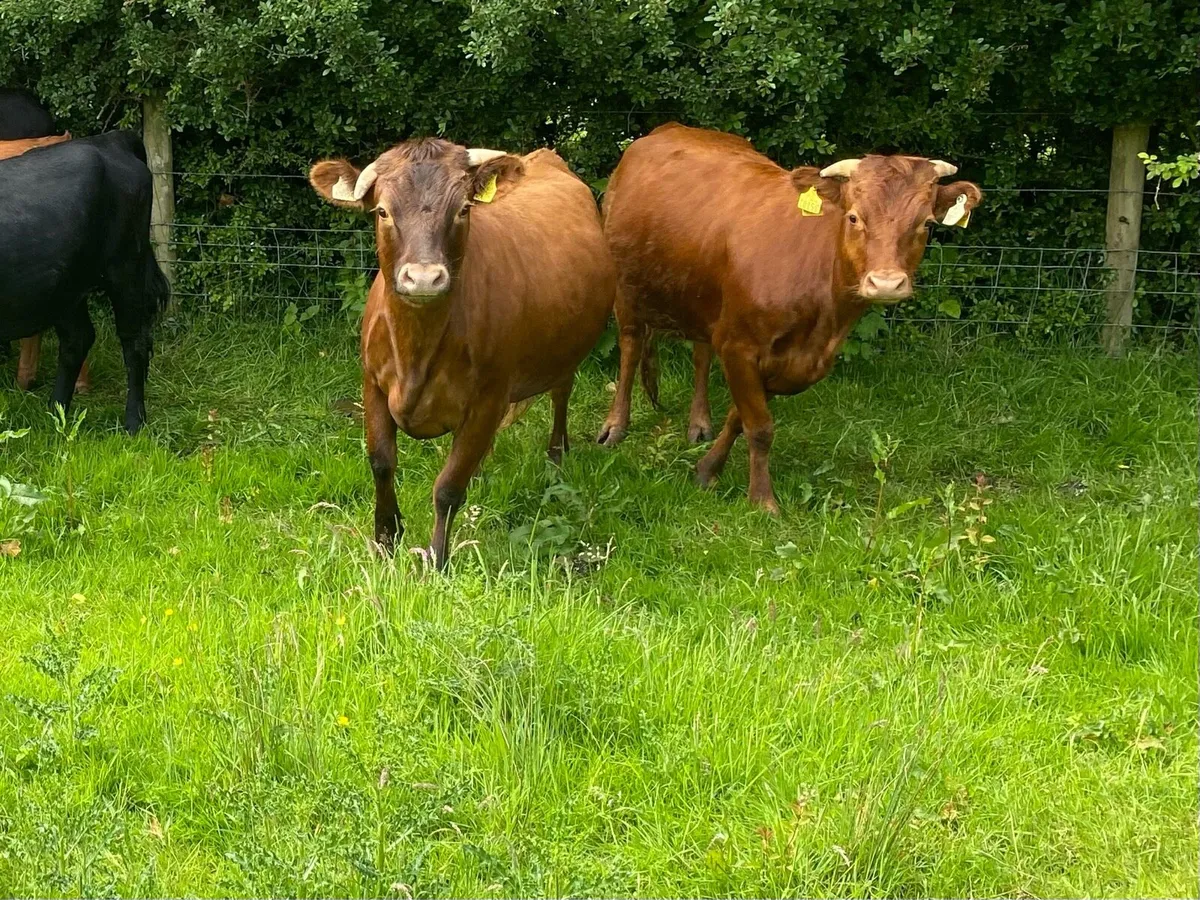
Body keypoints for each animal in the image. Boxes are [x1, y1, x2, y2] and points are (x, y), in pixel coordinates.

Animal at [0, 131, 170, 433]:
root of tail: (110, 140)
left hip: (125, 268)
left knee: (134, 342)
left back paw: (134, 422)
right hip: (65, 288)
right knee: (77, 339)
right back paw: (56, 413)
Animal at [309, 138, 615, 569]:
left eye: (463, 209)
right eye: (383, 211)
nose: (423, 278)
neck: (416, 351)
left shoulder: (488, 399)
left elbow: (449, 487)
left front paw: (437, 559)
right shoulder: (373, 384)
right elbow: (381, 463)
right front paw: (386, 538)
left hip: (565, 352)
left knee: (561, 395)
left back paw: (556, 458)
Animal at [597, 123, 981, 514]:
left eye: (926, 223)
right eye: (853, 217)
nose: (886, 282)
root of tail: (671, 128)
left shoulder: (785, 360)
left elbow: (740, 418)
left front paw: (707, 468)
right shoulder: (738, 346)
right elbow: (759, 427)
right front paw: (761, 500)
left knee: (700, 354)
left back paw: (699, 422)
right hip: (624, 289)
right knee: (630, 348)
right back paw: (615, 426)